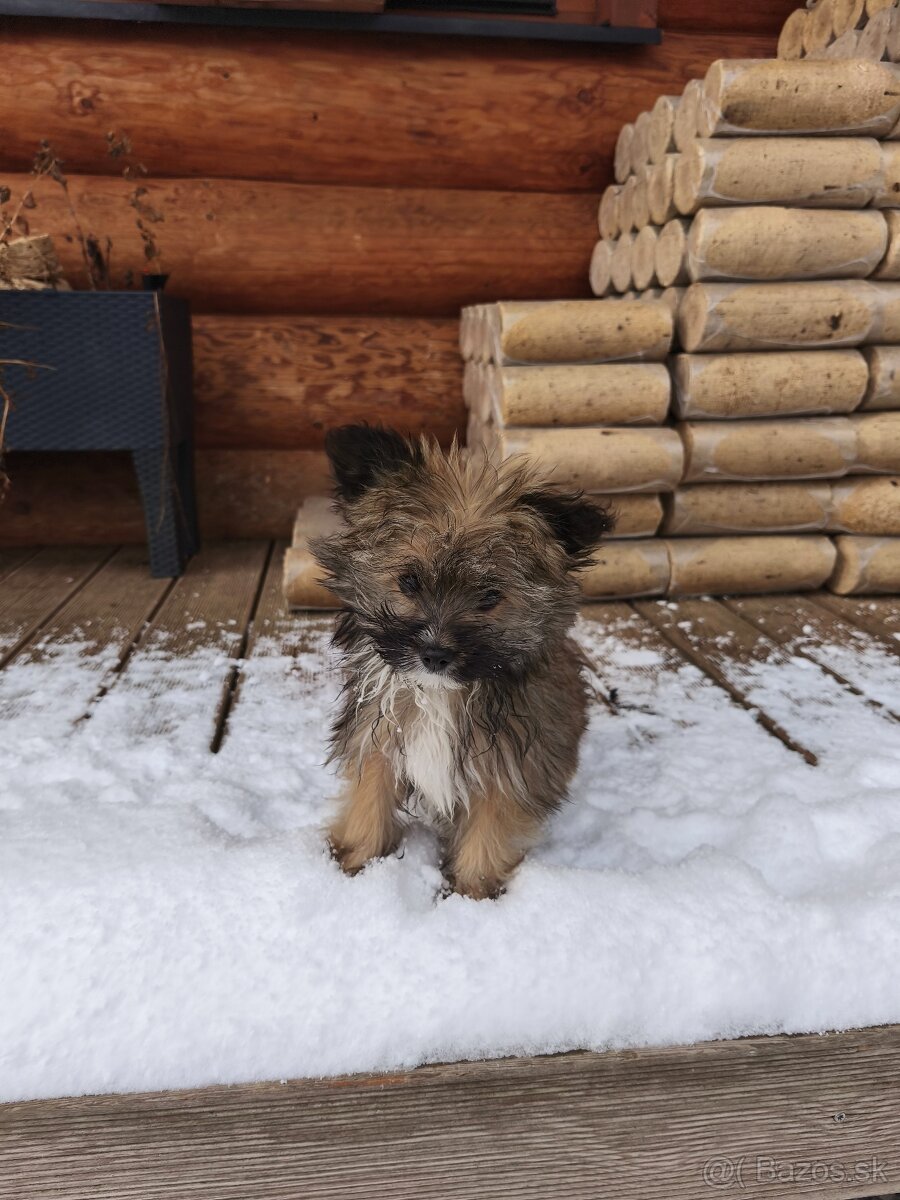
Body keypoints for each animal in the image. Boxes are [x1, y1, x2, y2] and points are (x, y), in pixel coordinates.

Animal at [309, 424, 614, 902]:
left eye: (490, 596)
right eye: (409, 580)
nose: (435, 654)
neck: (441, 695)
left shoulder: (509, 768)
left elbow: (487, 835)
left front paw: (471, 896)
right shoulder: (378, 738)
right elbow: (369, 800)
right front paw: (355, 862)